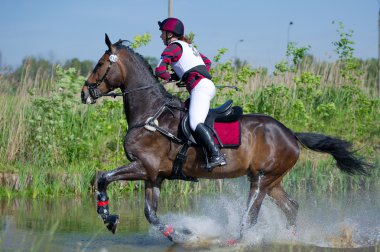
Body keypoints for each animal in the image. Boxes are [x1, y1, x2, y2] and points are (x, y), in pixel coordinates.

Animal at [81, 34, 372, 243]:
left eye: (100, 64)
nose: (84, 93)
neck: (150, 114)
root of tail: (291, 133)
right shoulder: (155, 176)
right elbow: (150, 214)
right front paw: (182, 235)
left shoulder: (143, 167)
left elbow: (103, 177)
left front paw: (107, 216)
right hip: (271, 181)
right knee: (291, 207)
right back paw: (291, 238)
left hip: (261, 180)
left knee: (250, 216)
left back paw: (236, 241)